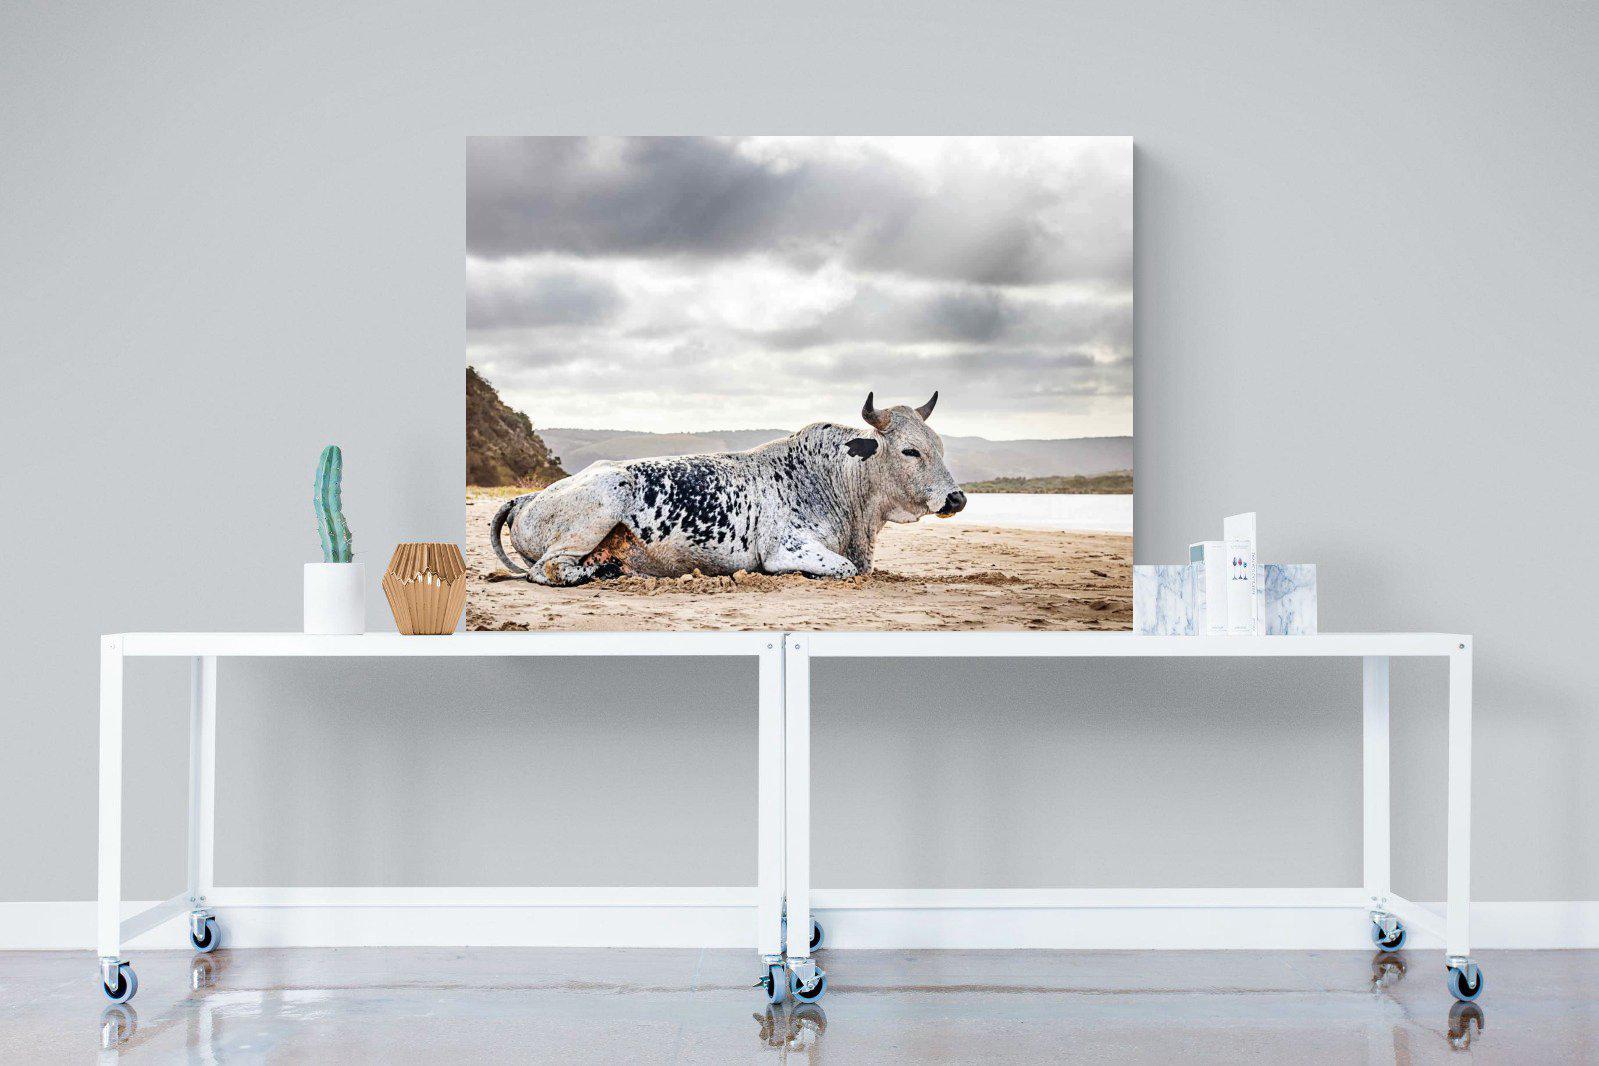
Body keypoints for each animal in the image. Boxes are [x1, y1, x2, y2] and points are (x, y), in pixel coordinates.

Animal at [490, 392, 966, 586]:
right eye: (909, 450)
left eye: (940, 447)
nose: (957, 498)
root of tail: (528, 497)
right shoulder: (786, 548)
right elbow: (845, 569)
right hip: (600, 507)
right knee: (547, 569)